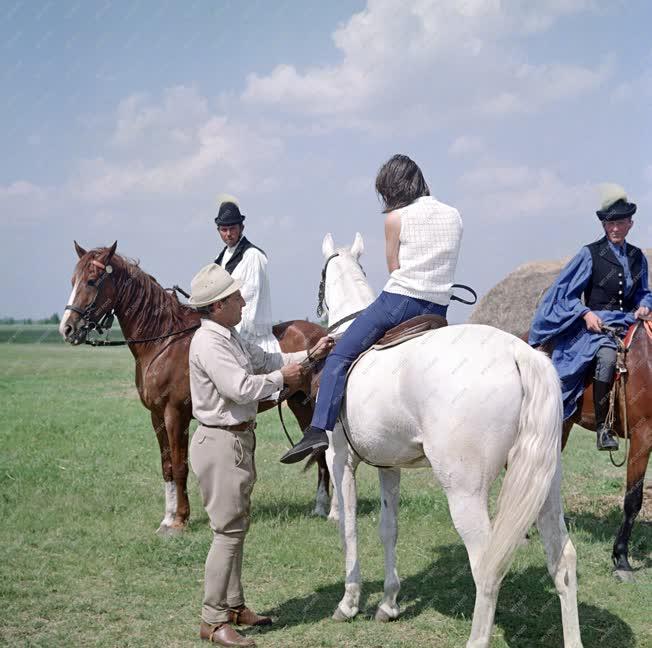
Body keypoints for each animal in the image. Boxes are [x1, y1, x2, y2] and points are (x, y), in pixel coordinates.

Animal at [59, 240, 332, 536]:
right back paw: (320, 506)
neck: (163, 343)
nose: (67, 328)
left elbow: (180, 467)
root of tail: (323, 335)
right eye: (72, 281)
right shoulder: (156, 416)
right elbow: (167, 466)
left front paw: (180, 520)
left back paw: (329, 511)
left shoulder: (175, 414)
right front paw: (167, 518)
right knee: (318, 449)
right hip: (299, 404)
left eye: (91, 280)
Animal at [320, 233, 580, 648]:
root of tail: (518, 353)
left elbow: (349, 529)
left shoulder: (341, 459)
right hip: (544, 484)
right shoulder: (388, 467)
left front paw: (349, 602)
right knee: (563, 561)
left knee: (488, 567)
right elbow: (388, 529)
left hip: (465, 493)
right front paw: (389, 604)